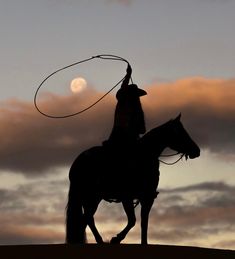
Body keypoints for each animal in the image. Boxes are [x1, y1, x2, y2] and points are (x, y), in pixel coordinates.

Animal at [65, 115, 200, 245]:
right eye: (182, 132)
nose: (197, 151)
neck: (143, 157)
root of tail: (77, 162)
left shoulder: (147, 198)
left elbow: (144, 223)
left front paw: (143, 243)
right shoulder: (127, 197)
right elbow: (132, 221)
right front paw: (116, 239)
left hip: (91, 198)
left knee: (87, 219)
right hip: (90, 197)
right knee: (87, 218)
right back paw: (99, 241)